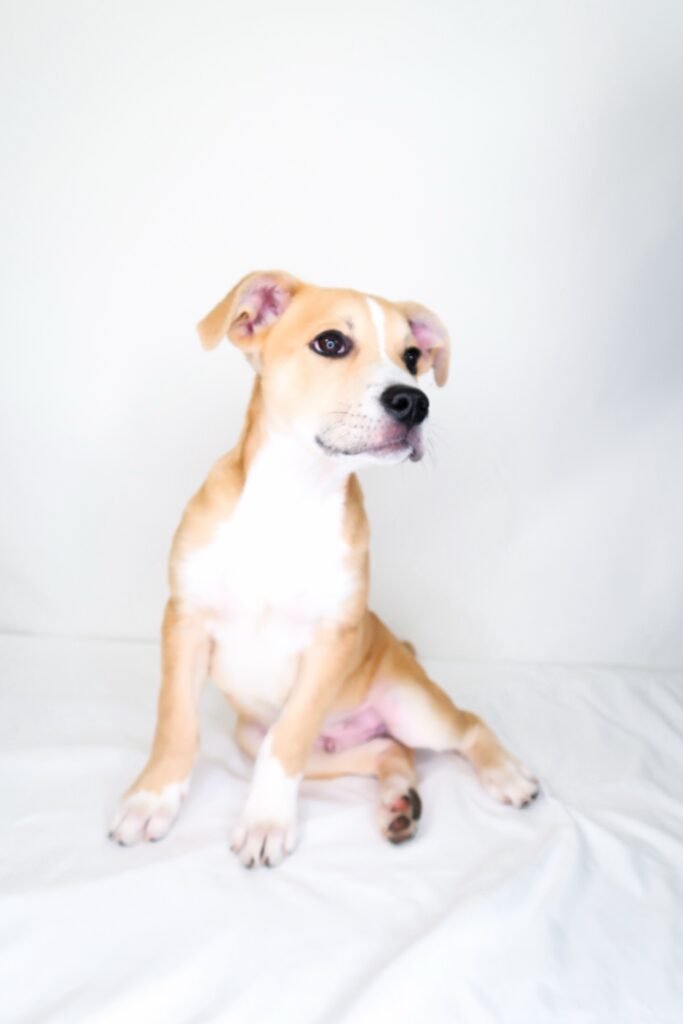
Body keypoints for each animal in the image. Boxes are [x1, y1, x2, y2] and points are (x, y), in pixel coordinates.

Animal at [109, 271, 539, 867]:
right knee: (387, 752)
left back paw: (504, 775)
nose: (414, 401)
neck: (293, 499)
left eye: (411, 356)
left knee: (466, 727)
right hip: (282, 742)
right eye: (331, 343)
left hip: (414, 708)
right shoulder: (185, 621)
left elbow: (285, 739)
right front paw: (152, 801)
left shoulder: (330, 642)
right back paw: (399, 803)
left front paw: (266, 821)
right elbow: (177, 724)